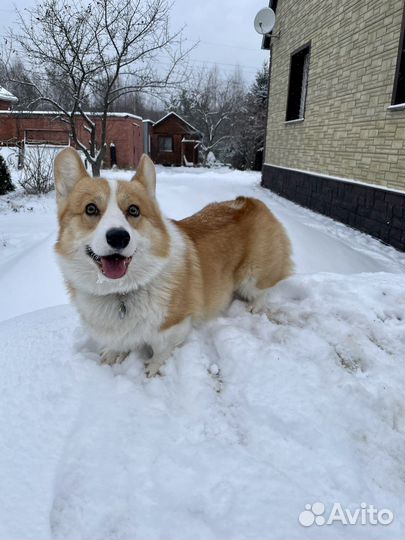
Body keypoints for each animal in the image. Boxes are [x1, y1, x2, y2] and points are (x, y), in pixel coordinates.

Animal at [53, 148, 292, 376]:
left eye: (134, 210)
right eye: (90, 209)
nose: (119, 237)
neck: (121, 292)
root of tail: (249, 201)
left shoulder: (173, 326)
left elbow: (160, 350)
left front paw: (153, 369)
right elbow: (119, 342)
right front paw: (113, 353)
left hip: (252, 276)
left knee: (262, 290)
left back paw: (254, 306)